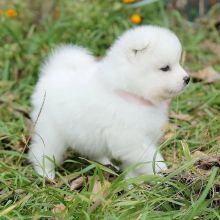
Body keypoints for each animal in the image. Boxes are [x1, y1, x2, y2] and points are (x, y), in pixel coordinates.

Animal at [28, 25, 189, 180]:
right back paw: (46, 173)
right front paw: (161, 172)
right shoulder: (131, 139)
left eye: (178, 63)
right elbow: (150, 158)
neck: (130, 94)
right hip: (51, 131)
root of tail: (52, 73)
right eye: (165, 68)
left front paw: (132, 181)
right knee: (43, 151)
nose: (187, 79)